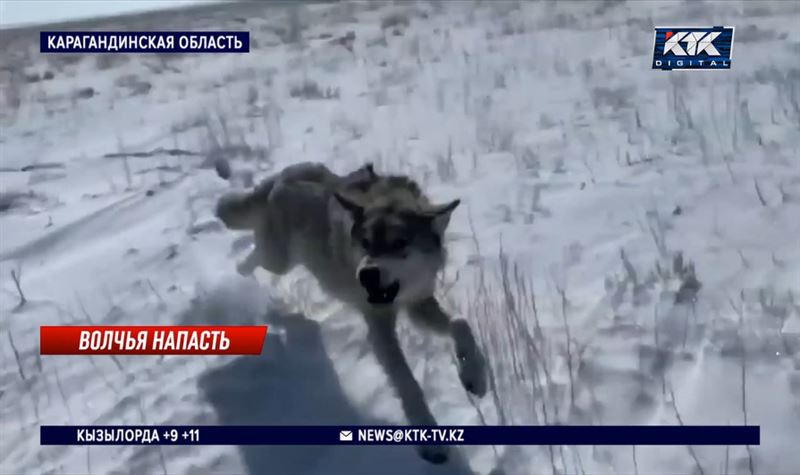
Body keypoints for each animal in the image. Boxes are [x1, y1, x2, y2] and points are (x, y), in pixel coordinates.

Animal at [212, 163, 488, 464]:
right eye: (365, 243)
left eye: (400, 243)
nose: (365, 275)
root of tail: (287, 172)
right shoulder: (379, 326)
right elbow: (408, 383)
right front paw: (431, 441)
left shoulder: (418, 303)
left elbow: (461, 324)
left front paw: (475, 378)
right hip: (280, 261)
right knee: (254, 257)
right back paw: (239, 277)